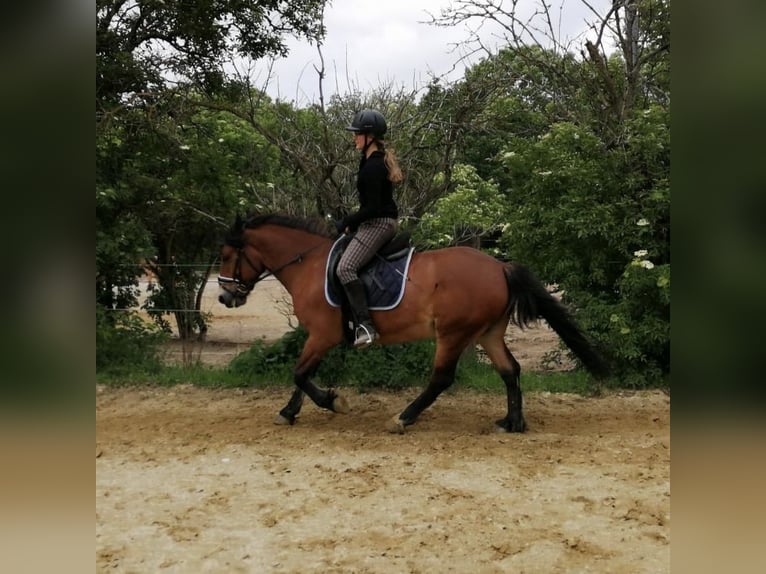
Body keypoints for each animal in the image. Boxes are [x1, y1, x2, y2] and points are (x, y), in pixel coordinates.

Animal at [219, 214, 608, 434]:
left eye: (225, 255)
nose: (225, 297)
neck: (309, 264)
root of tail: (500, 266)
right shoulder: (318, 337)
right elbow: (302, 375)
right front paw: (289, 412)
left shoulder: (322, 335)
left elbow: (300, 374)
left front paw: (333, 401)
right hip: (488, 332)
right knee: (510, 370)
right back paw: (512, 423)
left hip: (453, 333)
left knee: (442, 379)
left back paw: (403, 418)